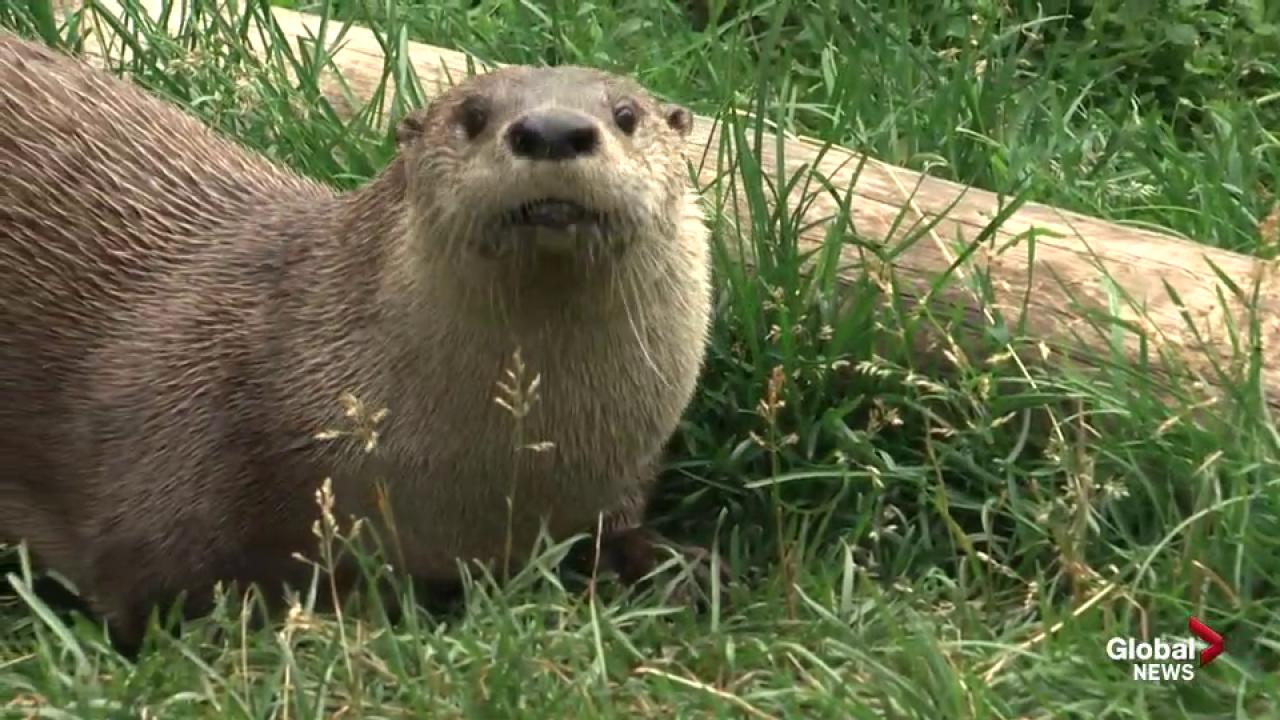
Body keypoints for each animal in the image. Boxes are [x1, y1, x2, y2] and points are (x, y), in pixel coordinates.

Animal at [0, 31, 718, 651]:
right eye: (474, 114)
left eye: (626, 114)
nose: (552, 131)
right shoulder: (170, 449)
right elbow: (148, 590)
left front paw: (676, 566)